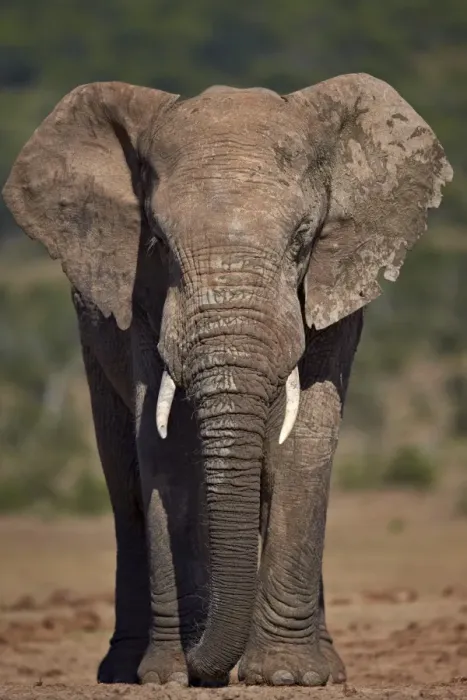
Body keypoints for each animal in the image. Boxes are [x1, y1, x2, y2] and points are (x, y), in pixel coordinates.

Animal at [2, 73, 452, 687]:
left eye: (302, 240)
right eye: (158, 243)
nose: (207, 664)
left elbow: (304, 443)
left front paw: (287, 677)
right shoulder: (141, 303)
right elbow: (165, 451)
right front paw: (173, 675)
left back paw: (326, 667)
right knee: (124, 485)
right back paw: (123, 669)